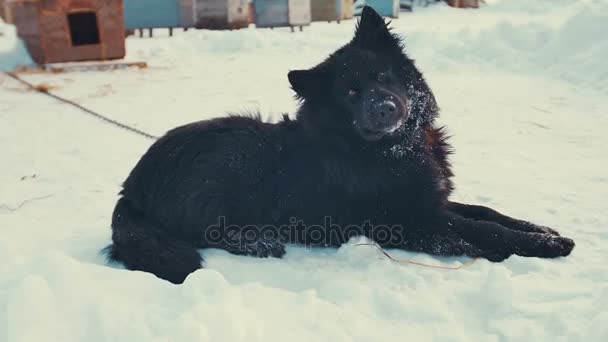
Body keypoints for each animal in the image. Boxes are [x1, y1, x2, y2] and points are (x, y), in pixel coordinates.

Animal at [104, 6, 576, 284]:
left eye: (383, 76)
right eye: (350, 93)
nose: (384, 108)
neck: (390, 150)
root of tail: (132, 186)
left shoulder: (431, 201)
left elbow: (486, 212)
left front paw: (541, 230)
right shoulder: (407, 218)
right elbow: (480, 228)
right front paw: (546, 246)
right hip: (238, 154)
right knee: (209, 229)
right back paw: (258, 241)